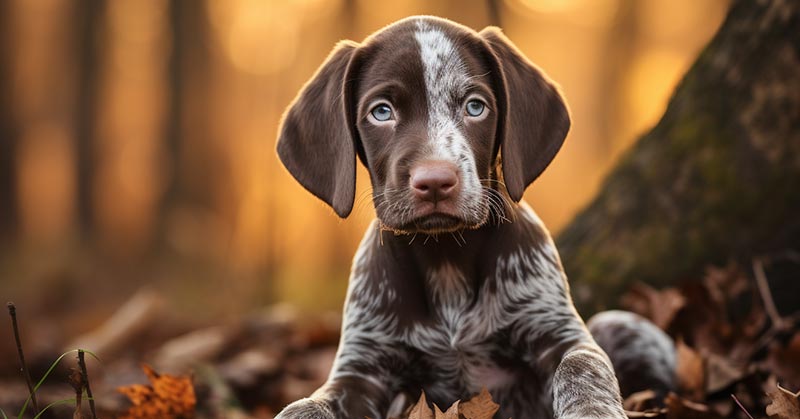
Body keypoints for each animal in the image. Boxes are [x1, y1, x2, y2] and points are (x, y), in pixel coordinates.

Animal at [276, 14, 676, 418]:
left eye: (475, 106)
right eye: (381, 112)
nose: (435, 181)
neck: (445, 257)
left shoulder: (557, 334)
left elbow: (581, 366)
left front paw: (591, 410)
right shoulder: (360, 371)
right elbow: (305, 405)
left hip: (620, 324)